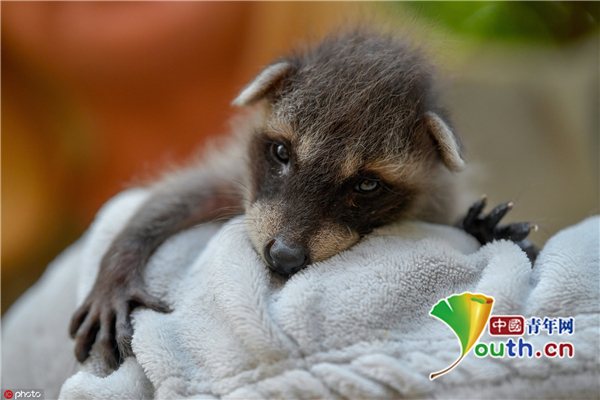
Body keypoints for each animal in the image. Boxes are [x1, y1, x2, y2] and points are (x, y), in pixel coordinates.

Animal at [68, 29, 536, 370]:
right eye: (281, 153)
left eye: (366, 186)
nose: (284, 256)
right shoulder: (241, 179)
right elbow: (177, 196)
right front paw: (119, 263)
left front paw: (478, 227)